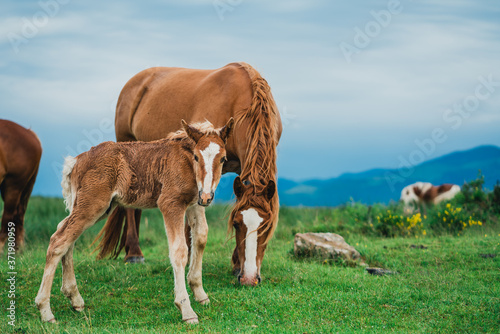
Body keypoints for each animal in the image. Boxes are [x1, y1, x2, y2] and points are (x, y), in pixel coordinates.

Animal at [35, 117, 234, 324]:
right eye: (196, 157)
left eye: (223, 159)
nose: (207, 197)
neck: (185, 161)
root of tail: (76, 161)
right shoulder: (171, 203)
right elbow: (179, 251)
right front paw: (186, 310)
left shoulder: (195, 202)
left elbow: (200, 238)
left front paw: (200, 293)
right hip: (93, 204)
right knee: (59, 240)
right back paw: (46, 311)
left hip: (96, 207)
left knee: (66, 234)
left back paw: (74, 298)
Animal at [102, 61, 282, 286]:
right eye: (236, 223)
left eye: (266, 226)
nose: (249, 278)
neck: (239, 101)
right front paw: (189, 257)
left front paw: (235, 265)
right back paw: (134, 253)